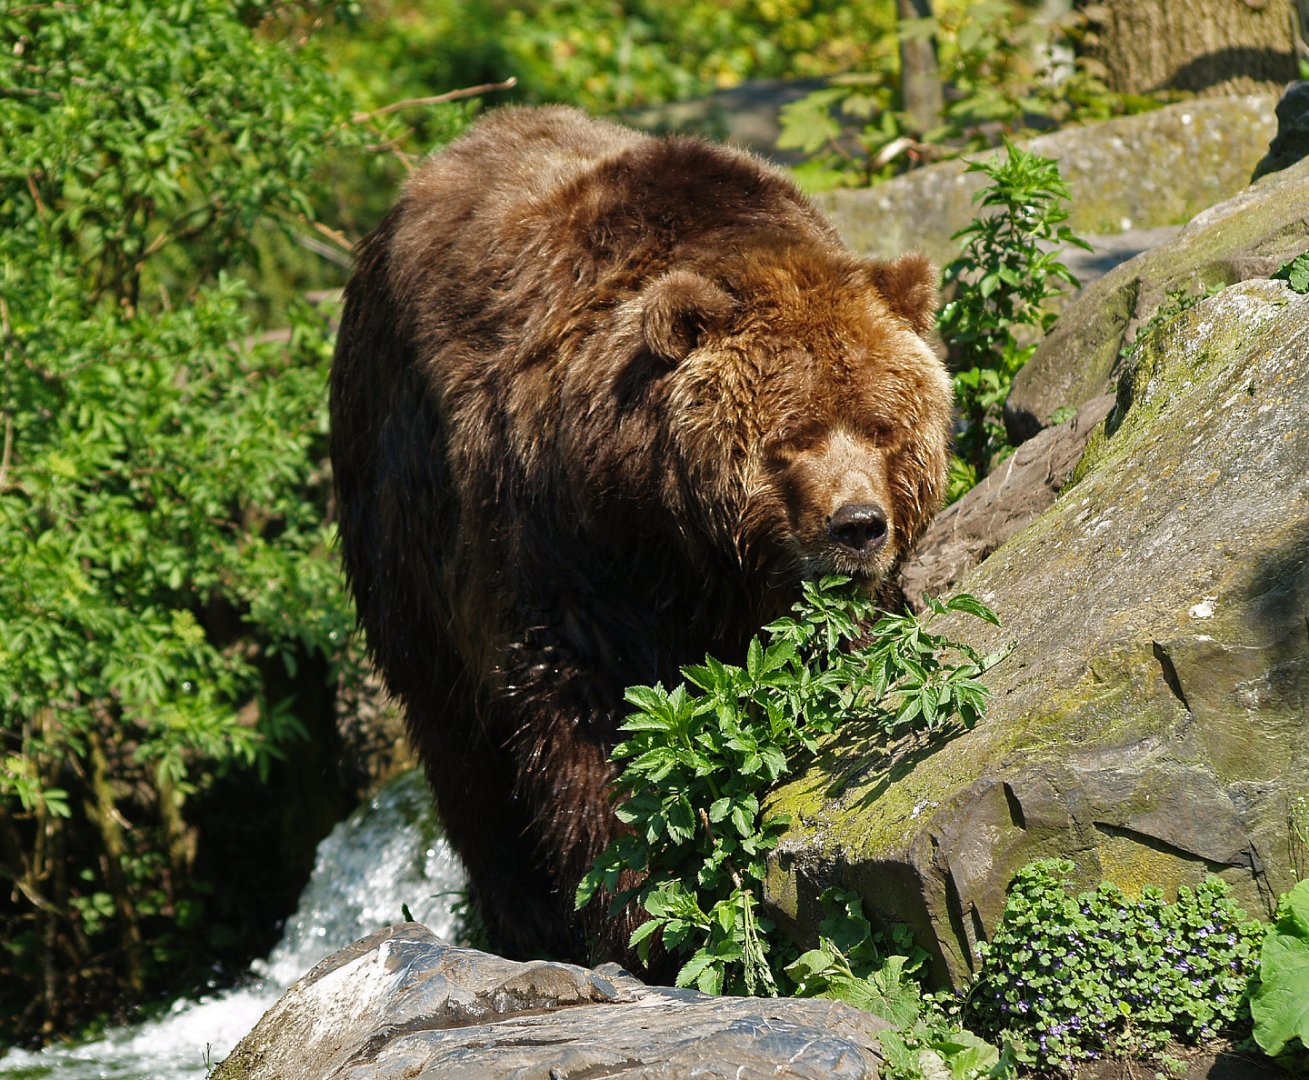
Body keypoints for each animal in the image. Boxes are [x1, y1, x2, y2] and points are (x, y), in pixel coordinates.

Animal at [329, 105, 952, 968]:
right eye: (792, 435)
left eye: (881, 425)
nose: (857, 525)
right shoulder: (566, 556)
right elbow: (599, 746)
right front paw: (636, 917)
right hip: (400, 516)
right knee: (456, 738)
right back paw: (519, 915)